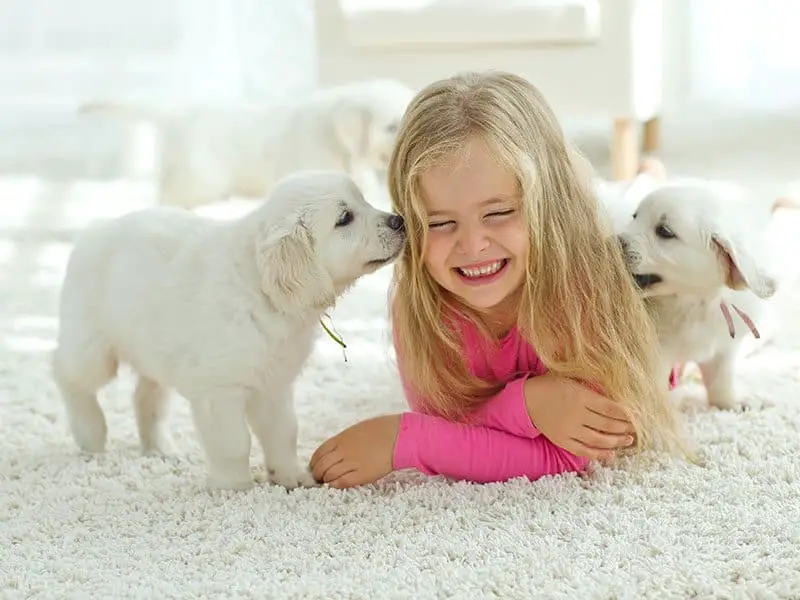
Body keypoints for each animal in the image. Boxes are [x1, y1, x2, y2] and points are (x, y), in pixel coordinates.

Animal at [51, 168, 406, 488]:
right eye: (345, 218)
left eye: (363, 200)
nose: (399, 221)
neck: (263, 292)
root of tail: (95, 229)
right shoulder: (220, 390)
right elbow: (234, 443)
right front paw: (235, 487)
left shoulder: (274, 385)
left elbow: (283, 433)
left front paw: (290, 477)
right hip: (93, 348)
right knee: (66, 374)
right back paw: (90, 433)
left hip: (154, 350)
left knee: (145, 395)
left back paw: (159, 447)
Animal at [616, 180, 780, 410]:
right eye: (634, 216)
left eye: (664, 231)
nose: (609, 241)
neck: (693, 301)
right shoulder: (657, 352)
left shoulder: (724, 348)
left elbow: (721, 379)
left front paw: (730, 404)